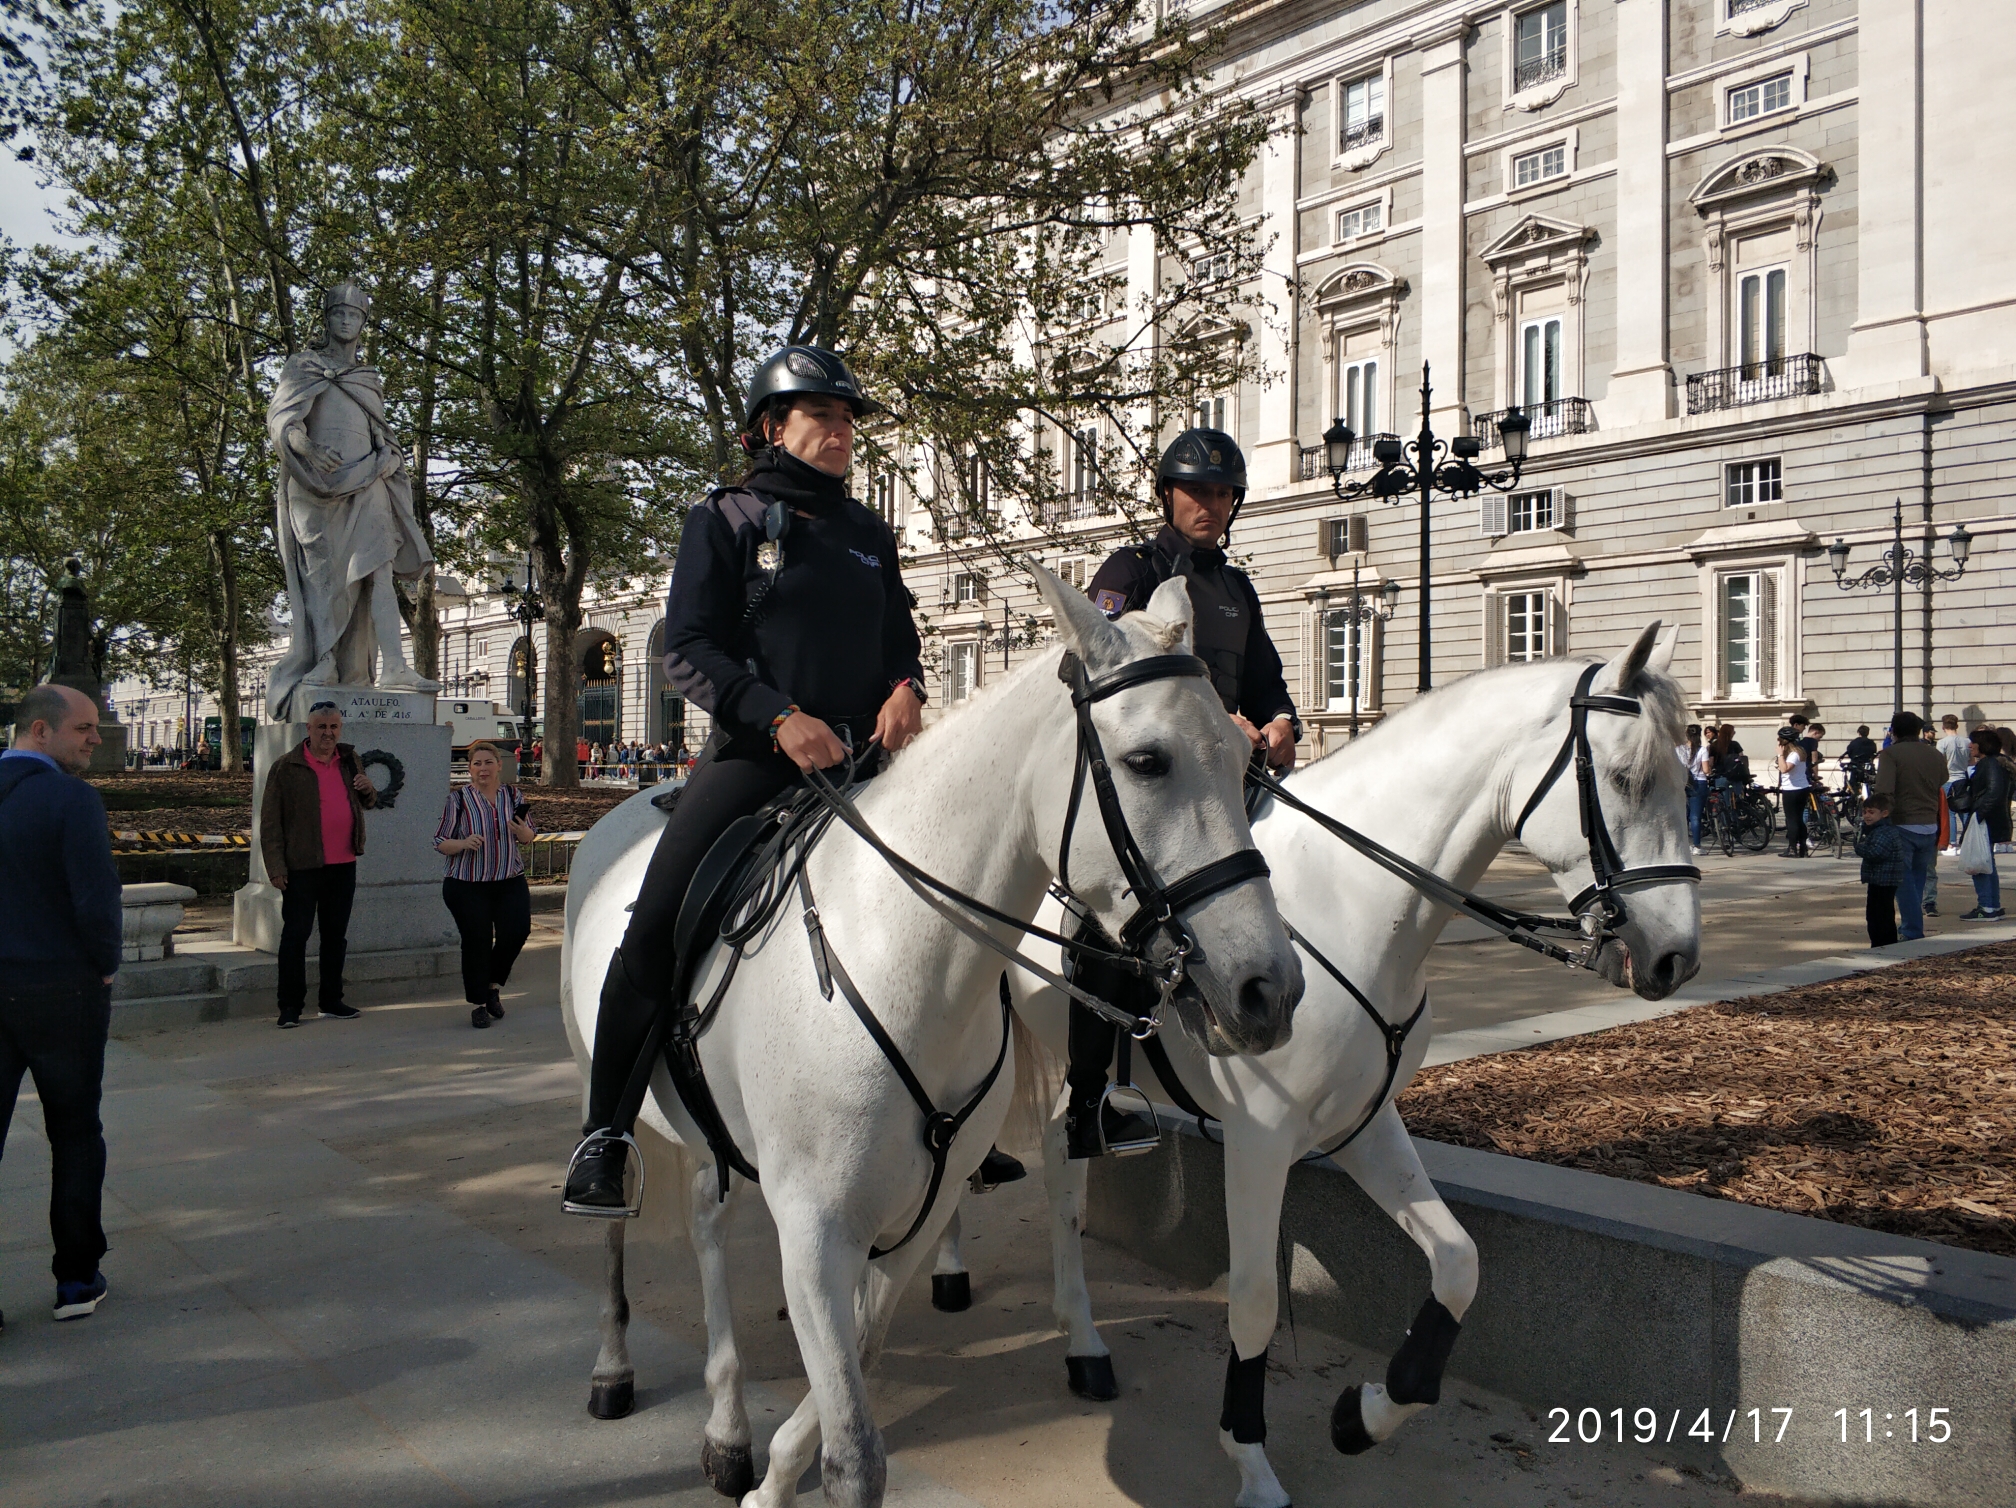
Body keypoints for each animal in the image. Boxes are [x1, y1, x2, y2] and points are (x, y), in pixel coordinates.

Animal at [560, 568, 1298, 1508]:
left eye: (1244, 761)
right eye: (1146, 761)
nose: (1268, 989)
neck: (904, 953)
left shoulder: (908, 1217)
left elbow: (856, 1359)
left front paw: (774, 1473)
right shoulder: (814, 1224)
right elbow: (855, 1454)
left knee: (706, 1222)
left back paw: (727, 1427)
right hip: (603, 1078)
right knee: (618, 1224)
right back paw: (612, 1365)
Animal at [931, 616, 1701, 1508]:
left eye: (1685, 774)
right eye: (1623, 777)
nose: (1678, 957)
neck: (1354, 906)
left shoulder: (1364, 1124)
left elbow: (1458, 1263)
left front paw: (1367, 1412)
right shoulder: (1261, 1139)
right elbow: (1256, 1300)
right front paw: (1250, 1454)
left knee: (1061, 1159)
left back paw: (1077, 1334)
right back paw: (964, 1278)